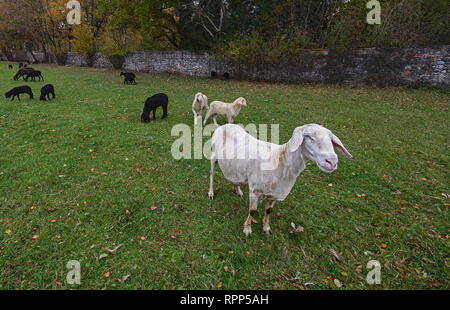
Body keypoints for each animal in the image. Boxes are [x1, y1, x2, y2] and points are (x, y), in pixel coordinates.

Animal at [209, 123, 354, 235]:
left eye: (331, 140)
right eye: (308, 137)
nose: (332, 161)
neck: (279, 162)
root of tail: (225, 125)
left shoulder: (274, 194)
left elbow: (268, 211)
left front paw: (266, 228)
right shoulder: (255, 191)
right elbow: (252, 211)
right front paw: (247, 229)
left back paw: (237, 190)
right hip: (213, 155)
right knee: (211, 174)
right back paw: (211, 193)